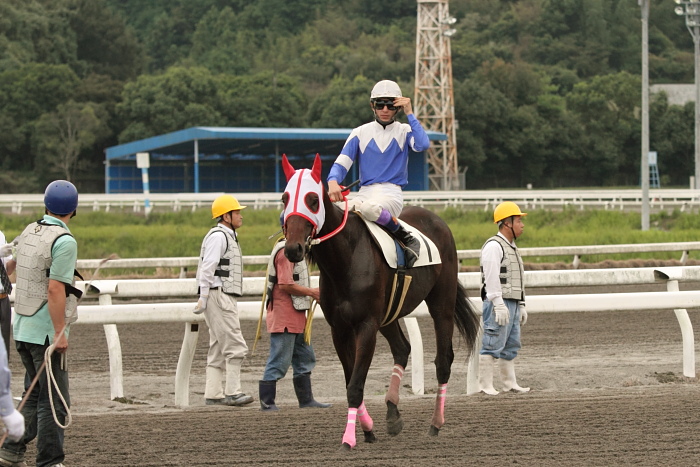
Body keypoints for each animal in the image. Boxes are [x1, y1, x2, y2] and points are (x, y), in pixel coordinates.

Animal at [278, 154, 482, 450]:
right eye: (284, 198)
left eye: (312, 200)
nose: (293, 249)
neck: (345, 259)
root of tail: (436, 218)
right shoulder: (340, 329)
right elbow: (350, 381)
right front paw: (368, 429)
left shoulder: (366, 325)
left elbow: (355, 386)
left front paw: (349, 438)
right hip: (389, 315)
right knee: (403, 348)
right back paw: (393, 413)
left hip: (441, 305)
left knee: (443, 361)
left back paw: (435, 423)